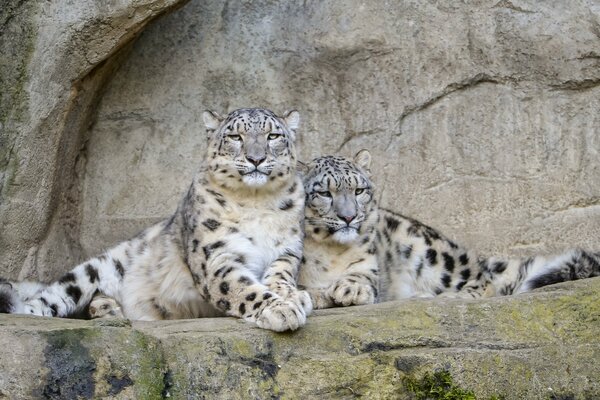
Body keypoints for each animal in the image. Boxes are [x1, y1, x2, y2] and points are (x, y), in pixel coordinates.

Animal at [11, 107, 312, 332]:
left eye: (273, 135)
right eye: (236, 136)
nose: (256, 158)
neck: (255, 200)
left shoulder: (287, 249)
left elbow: (280, 275)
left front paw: (293, 296)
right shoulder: (216, 256)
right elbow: (243, 288)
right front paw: (280, 310)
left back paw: (110, 310)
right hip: (98, 267)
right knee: (52, 296)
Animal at [300, 150, 600, 310]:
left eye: (359, 190)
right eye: (324, 193)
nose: (349, 217)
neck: (330, 251)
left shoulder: (370, 267)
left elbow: (362, 276)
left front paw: (349, 289)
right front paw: (318, 293)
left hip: (428, 250)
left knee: (484, 282)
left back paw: (437, 295)